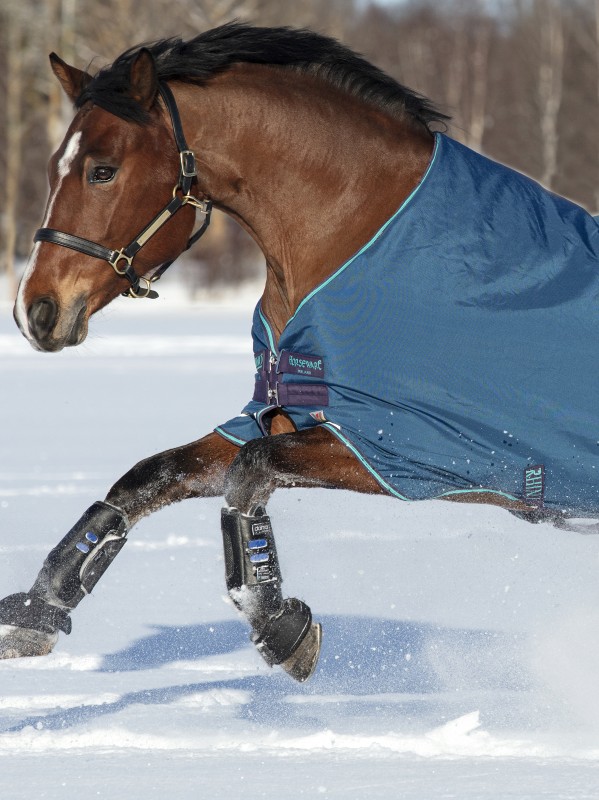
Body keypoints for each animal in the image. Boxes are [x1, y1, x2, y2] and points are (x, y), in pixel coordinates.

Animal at [1, 21, 599, 680]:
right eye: (55, 166)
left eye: (102, 171)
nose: (36, 311)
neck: (353, 238)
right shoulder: (278, 416)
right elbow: (146, 480)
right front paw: (36, 614)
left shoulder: (401, 451)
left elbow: (251, 472)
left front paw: (280, 625)